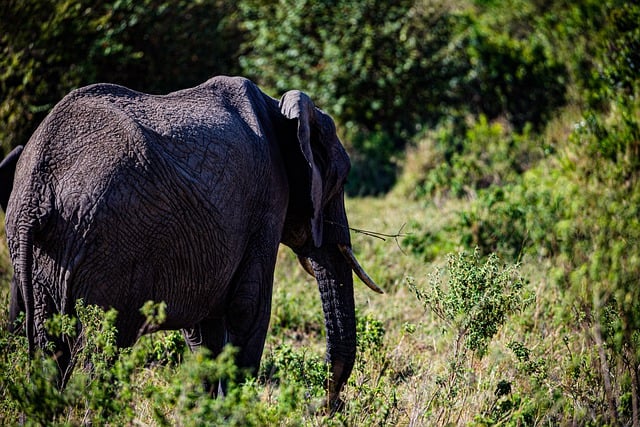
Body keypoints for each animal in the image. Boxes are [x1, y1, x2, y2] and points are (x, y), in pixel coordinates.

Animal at [5, 76, 382, 412]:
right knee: (97, 354)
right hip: (106, 248)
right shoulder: (267, 201)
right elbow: (250, 308)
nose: (323, 407)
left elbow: (205, 327)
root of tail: (36, 190)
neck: (279, 110)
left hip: (44, 258)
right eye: (342, 179)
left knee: (47, 352)